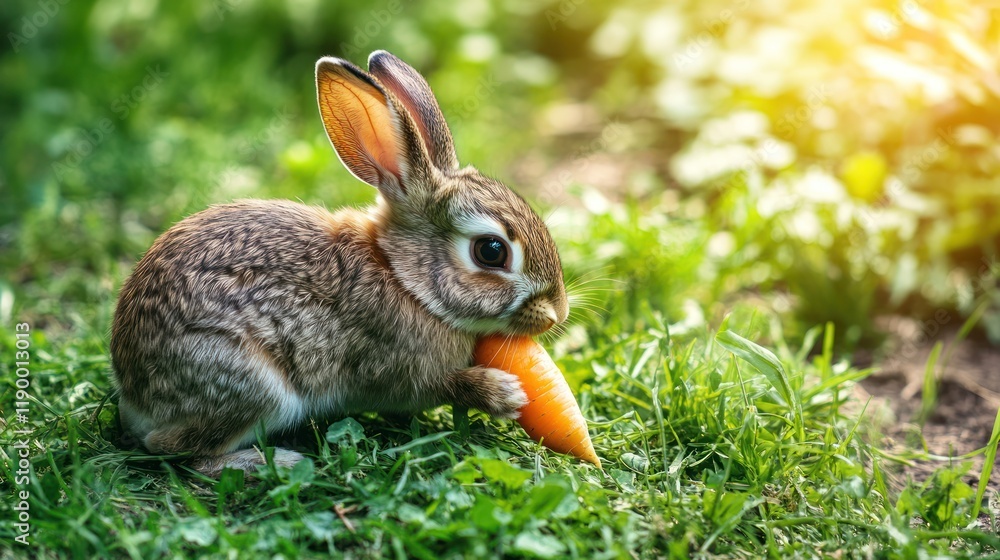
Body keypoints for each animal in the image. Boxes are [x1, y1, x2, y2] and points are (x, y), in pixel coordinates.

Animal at [109, 50, 569, 476]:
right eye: (491, 251)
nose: (555, 314)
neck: (403, 279)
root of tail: (134, 391)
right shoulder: (395, 367)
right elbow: (438, 384)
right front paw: (505, 394)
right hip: (251, 385)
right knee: (174, 448)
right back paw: (274, 462)